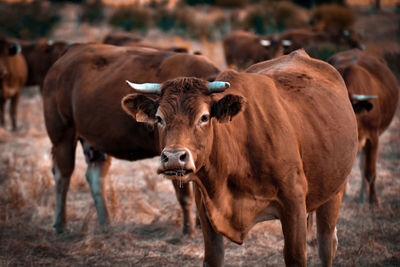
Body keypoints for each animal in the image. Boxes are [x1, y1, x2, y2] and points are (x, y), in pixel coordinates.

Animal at [42, 43, 220, 237]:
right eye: (160, 118)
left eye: (204, 117)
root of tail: (69, 54)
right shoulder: (170, 156)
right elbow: (185, 195)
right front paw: (189, 231)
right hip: (62, 135)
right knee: (62, 176)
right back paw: (61, 225)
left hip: (94, 142)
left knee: (96, 176)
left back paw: (106, 224)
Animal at [122, 49, 360, 266]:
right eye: (159, 118)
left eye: (204, 117)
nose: (173, 157)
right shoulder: (206, 209)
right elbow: (213, 258)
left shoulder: (294, 204)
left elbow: (296, 257)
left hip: (335, 189)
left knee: (326, 245)